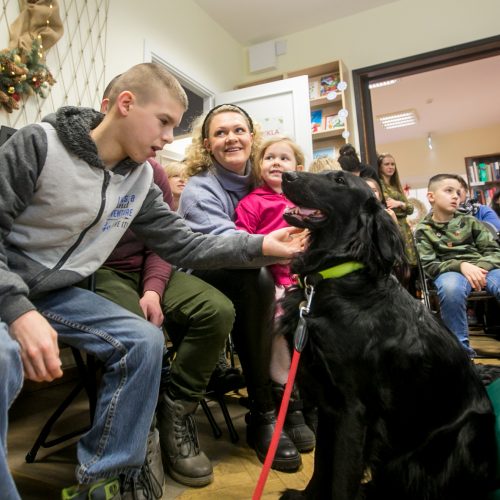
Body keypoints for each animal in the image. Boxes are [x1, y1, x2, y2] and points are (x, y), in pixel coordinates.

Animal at [278, 170, 496, 498]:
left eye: (339, 181)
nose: (286, 175)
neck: (340, 277)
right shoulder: (329, 404)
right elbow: (322, 464)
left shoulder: (354, 409)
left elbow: (341, 477)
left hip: (460, 437)